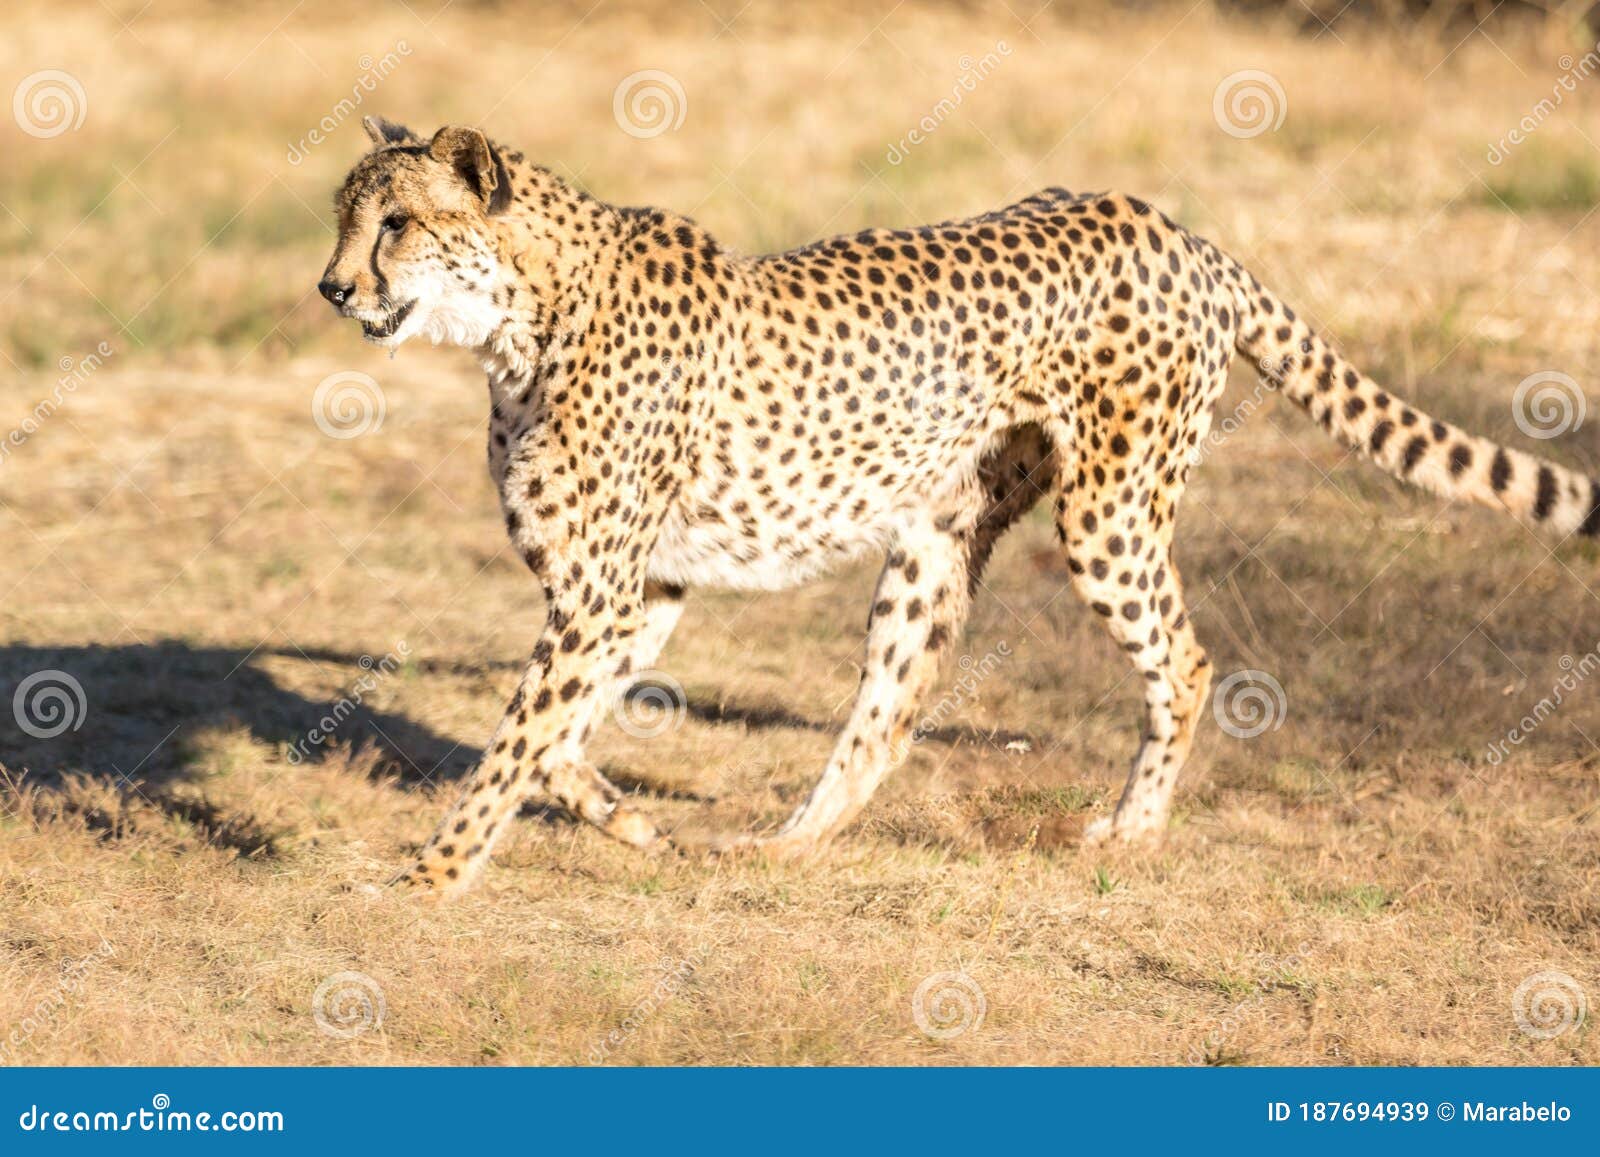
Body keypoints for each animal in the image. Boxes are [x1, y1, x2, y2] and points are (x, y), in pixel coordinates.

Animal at [315, 120, 1600, 896]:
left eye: (396, 223)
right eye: (343, 216)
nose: (330, 287)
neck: (521, 319)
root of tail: (1165, 222)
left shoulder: (601, 590)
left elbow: (521, 738)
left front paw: (428, 877)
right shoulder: (639, 587)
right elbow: (556, 736)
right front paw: (624, 821)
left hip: (1107, 515)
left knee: (1183, 660)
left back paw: (1131, 829)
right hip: (934, 543)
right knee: (889, 710)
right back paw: (781, 846)